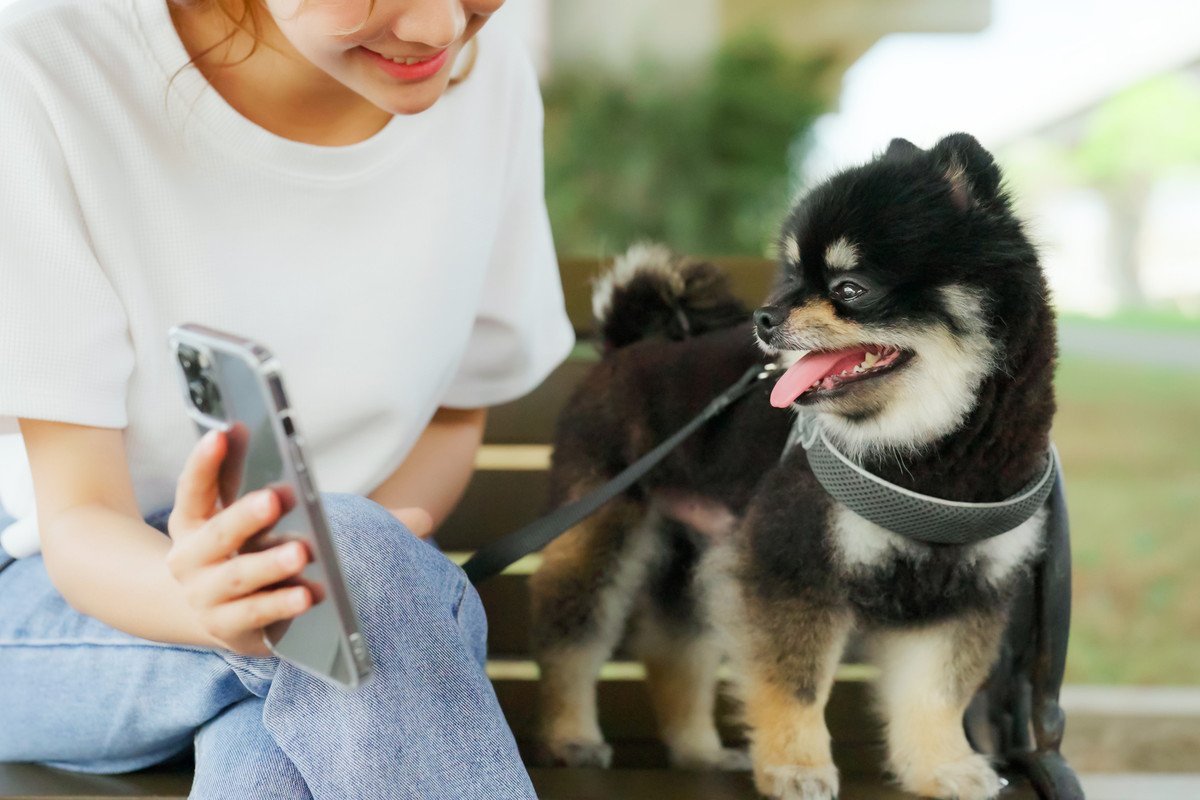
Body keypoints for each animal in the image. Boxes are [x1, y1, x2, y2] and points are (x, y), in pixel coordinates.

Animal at [530, 134, 1056, 796]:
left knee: (676, 652)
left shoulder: (965, 593)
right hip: (601, 531)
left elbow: (937, 695)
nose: (763, 317)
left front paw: (944, 767)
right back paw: (569, 736)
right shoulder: (791, 564)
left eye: (850, 287)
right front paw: (795, 766)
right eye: (791, 276)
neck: (933, 459)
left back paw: (699, 752)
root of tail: (625, 346)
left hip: (694, 552)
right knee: (572, 639)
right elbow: (795, 683)